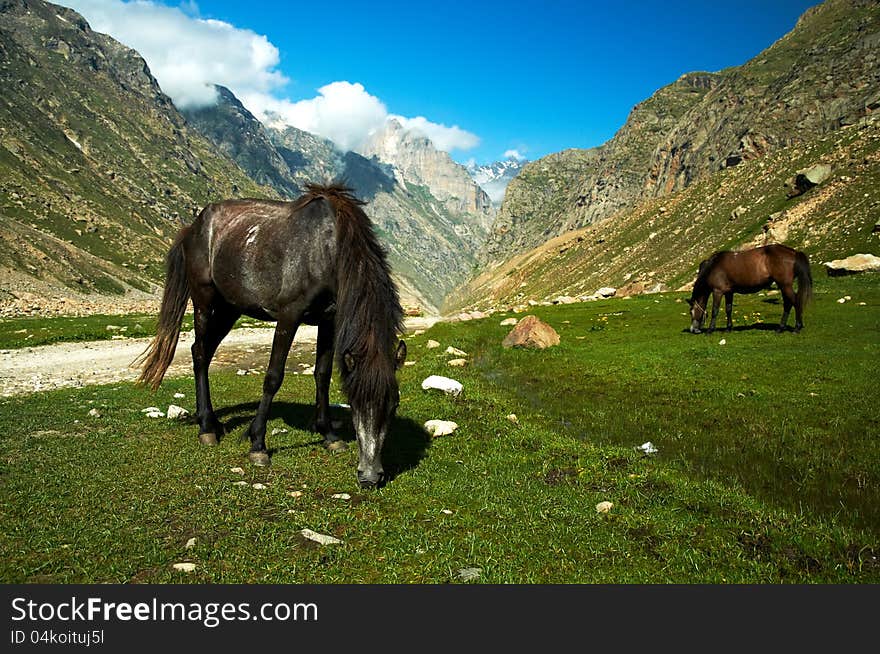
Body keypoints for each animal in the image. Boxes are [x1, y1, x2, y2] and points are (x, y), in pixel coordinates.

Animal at [138, 183, 410, 486]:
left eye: (394, 404)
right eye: (354, 400)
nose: (371, 476)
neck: (328, 248)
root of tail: (193, 227)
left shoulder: (329, 320)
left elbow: (322, 375)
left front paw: (328, 434)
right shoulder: (289, 316)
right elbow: (273, 377)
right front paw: (257, 444)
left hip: (229, 308)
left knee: (204, 352)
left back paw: (209, 421)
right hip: (204, 302)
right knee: (198, 353)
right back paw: (207, 428)